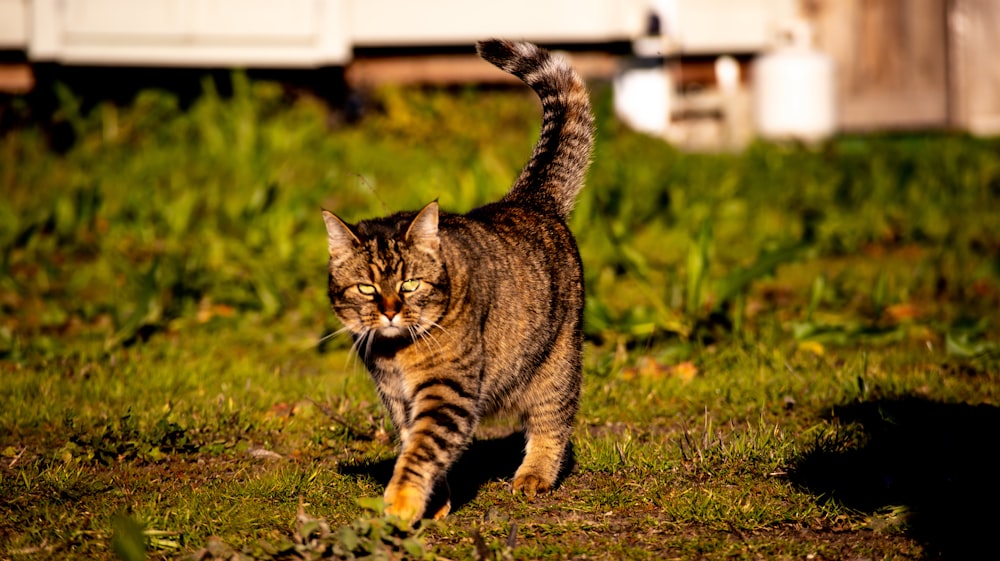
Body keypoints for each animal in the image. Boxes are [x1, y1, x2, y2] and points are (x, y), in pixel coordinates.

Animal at [322, 39, 592, 520]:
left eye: (409, 285)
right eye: (367, 288)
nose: (389, 313)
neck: (395, 353)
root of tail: (528, 199)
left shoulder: (447, 391)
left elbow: (421, 451)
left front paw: (402, 502)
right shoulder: (398, 399)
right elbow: (416, 445)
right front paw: (435, 501)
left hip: (556, 363)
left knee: (553, 420)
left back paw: (534, 475)